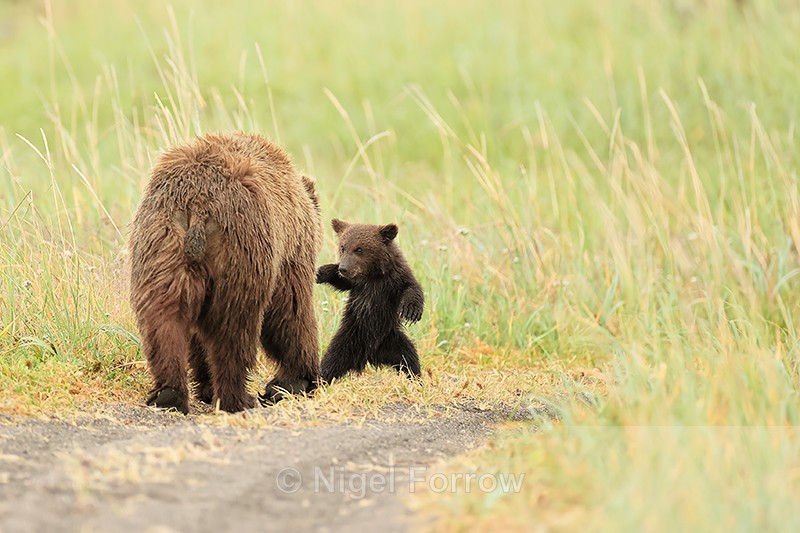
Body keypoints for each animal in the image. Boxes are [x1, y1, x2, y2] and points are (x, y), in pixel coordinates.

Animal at [129, 132, 322, 414]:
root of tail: (198, 203)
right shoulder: (289, 252)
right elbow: (290, 311)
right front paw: (298, 379)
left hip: (161, 246)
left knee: (163, 318)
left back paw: (169, 395)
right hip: (241, 250)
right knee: (234, 328)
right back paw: (239, 398)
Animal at [316, 219, 424, 383]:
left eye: (359, 249)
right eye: (343, 247)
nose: (343, 268)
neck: (373, 274)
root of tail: (370, 354)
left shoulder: (394, 279)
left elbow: (411, 287)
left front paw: (411, 311)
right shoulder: (357, 284)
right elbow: (342, 282)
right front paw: (321, 272)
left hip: (391, 339)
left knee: (409, 358)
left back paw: (415, 379)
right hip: (349, 338)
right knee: (332, 359)